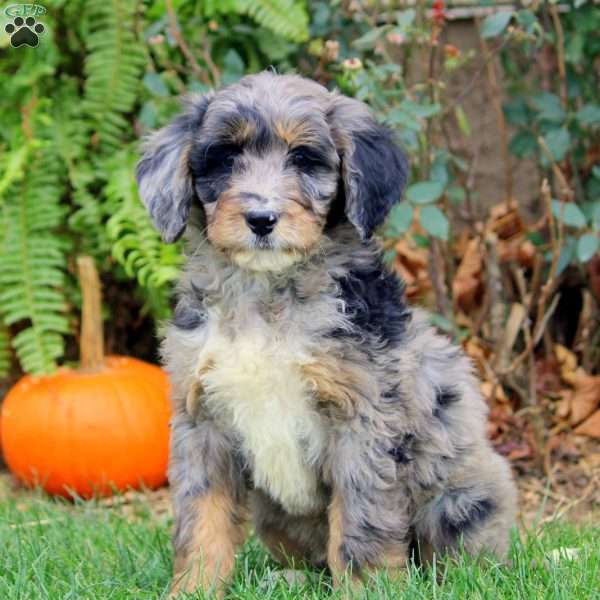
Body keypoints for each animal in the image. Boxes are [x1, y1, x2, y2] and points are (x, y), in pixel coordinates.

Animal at [135, 70, 516, 596]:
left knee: (458, 561)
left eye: (303, 158)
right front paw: (192, 589)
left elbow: (360, 525)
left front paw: (367, 590)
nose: (261, 218)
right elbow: (201, 519)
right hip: (274, 515)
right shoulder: (201, 417)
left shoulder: (362, 419)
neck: (266, 294)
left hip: (461, 496)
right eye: (226, 158)